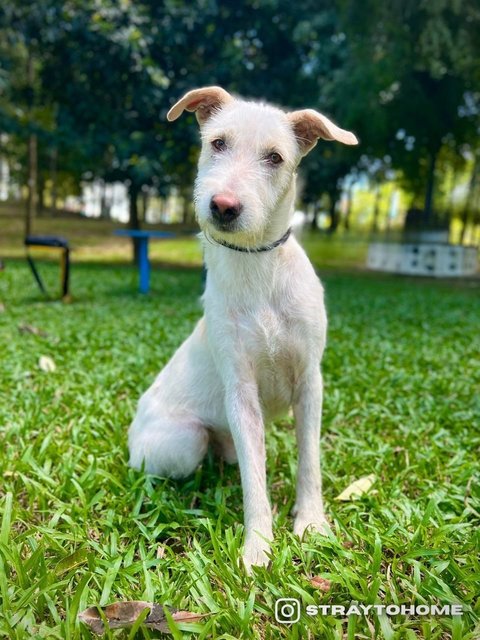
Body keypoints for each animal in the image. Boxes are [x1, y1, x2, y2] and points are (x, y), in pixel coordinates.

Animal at [129, 86, 358, 568]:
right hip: (183, 441)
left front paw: (311, 523)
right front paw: (259, 545)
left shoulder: (310, 380)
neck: (257, 264)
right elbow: (255, 478)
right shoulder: (240, 389)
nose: (223, 206)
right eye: (217, 143)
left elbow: (309, 460)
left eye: (275, 157)